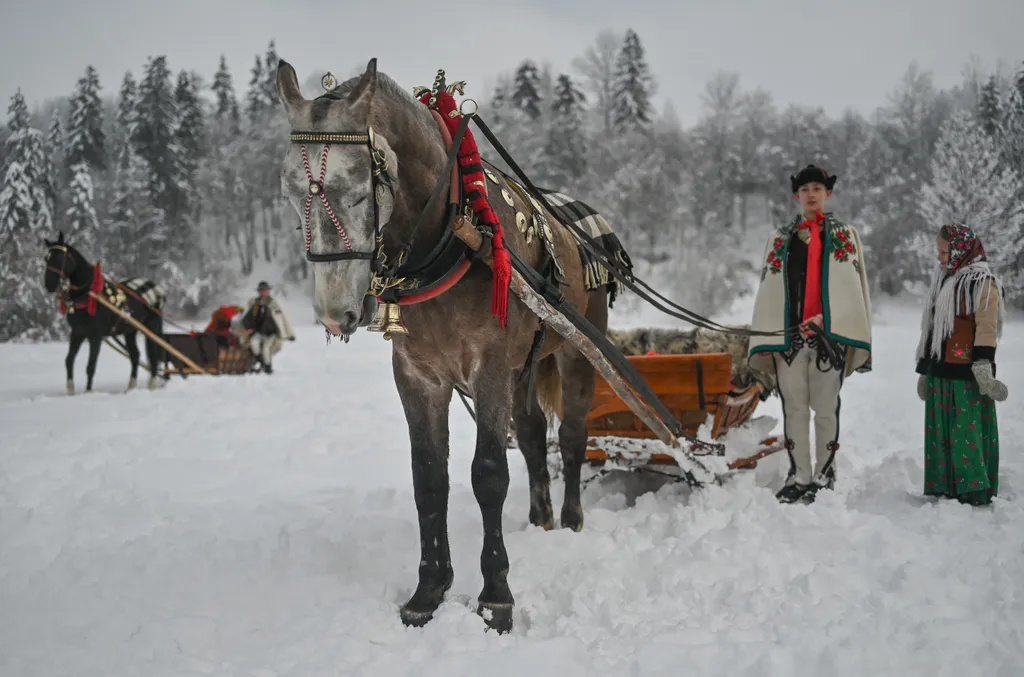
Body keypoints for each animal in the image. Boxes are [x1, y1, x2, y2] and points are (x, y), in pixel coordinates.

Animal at [272, 59, 622, 635]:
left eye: (358, 190)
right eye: (289, 193)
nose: (334, 312)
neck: (453, 234)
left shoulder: (490, 367)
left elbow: (488, 474)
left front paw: (496, 595)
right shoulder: (417, 375)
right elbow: (430, 479)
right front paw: (429, 590)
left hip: (577, 349)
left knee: (571, 436)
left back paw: (571, 520)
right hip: (525, 366)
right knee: (532, 437)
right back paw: (541, 519)